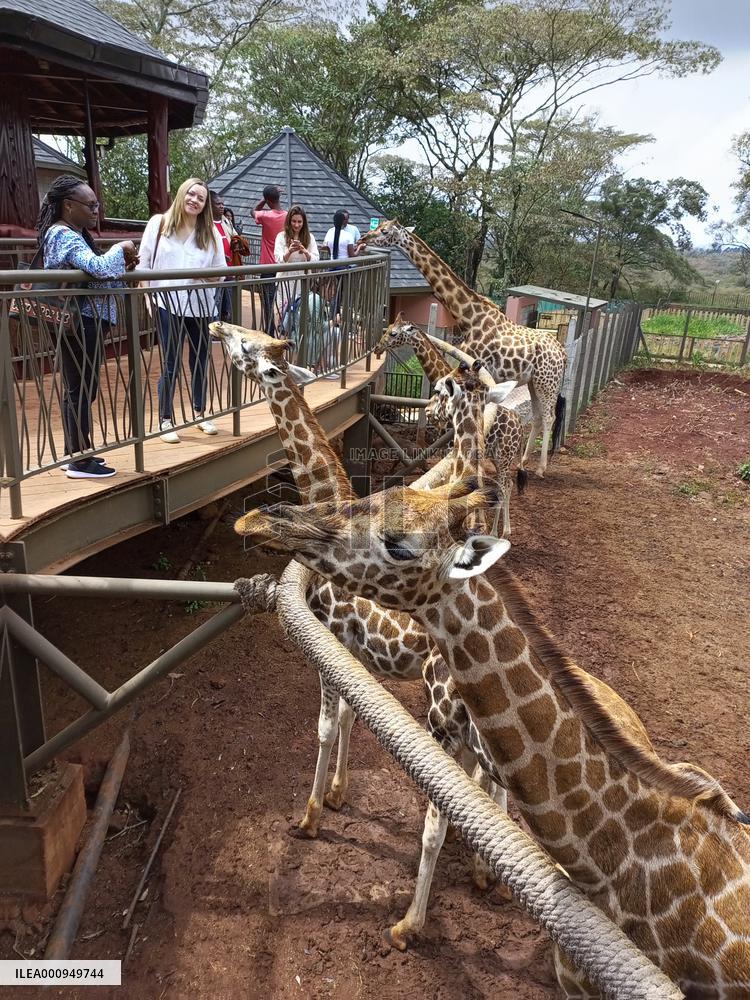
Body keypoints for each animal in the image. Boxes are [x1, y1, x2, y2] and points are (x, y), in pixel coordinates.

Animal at [238, 484, 750, 998]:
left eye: (399, 545)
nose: (262, 518)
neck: (612, 858)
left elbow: (335, 733)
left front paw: (316, 824)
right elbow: (349, 717)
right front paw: (336, 797)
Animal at [361, 221, 567, 476]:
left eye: (385, 231)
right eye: (379, 226)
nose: (363, 238)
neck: (469, 317)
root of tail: (562, 352)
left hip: (547, 382)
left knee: (549, 417)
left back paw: (540, 468)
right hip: (533, 382)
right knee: (538, 417)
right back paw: (523, 462)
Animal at [378, 316, 527, 536]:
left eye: (394, 333)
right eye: (388, 328)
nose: (378, 348)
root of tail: (519, 424)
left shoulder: (449, 441)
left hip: (504, 456)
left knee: (505, 485)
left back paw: (499, 531)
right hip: (498, 456)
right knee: (508, 484)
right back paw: (504, 529)